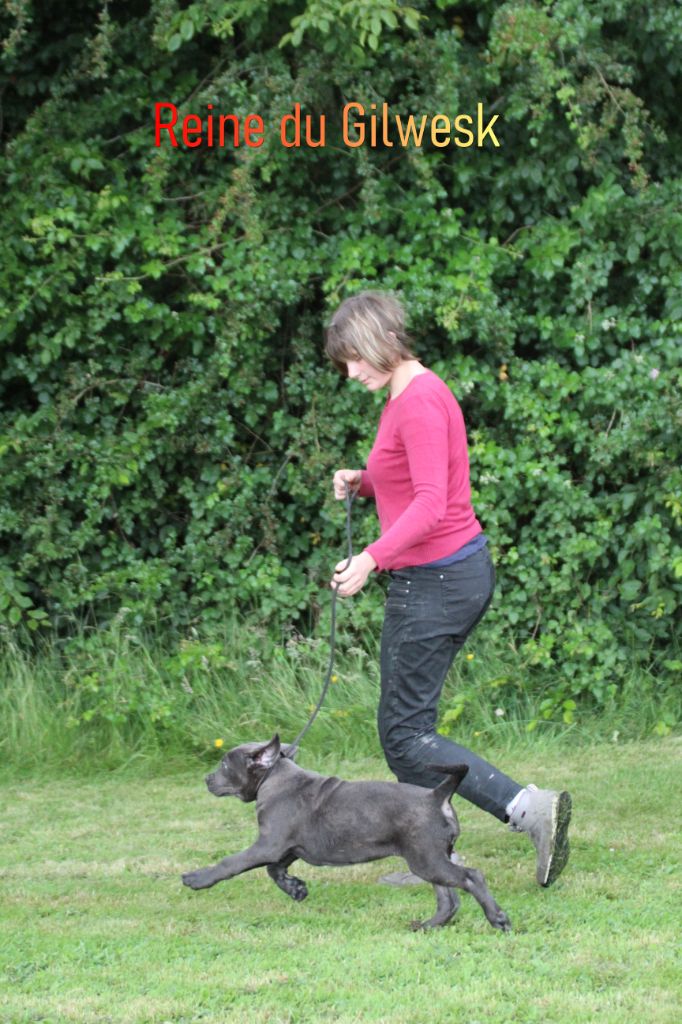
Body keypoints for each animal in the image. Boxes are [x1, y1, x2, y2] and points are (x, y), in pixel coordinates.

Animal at [182, 734, 511, 932]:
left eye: (225, 764)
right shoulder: (287, 849)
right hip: (432, 858)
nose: (207, 778)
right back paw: (427, 926)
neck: (274, 776)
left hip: (426, 858)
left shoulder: (268, 845)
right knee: (449, 898)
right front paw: (296, 889)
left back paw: (498, 918)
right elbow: (274, 871)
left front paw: (197, 878)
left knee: (472, 877)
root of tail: (437, 795)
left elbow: (231, 863)